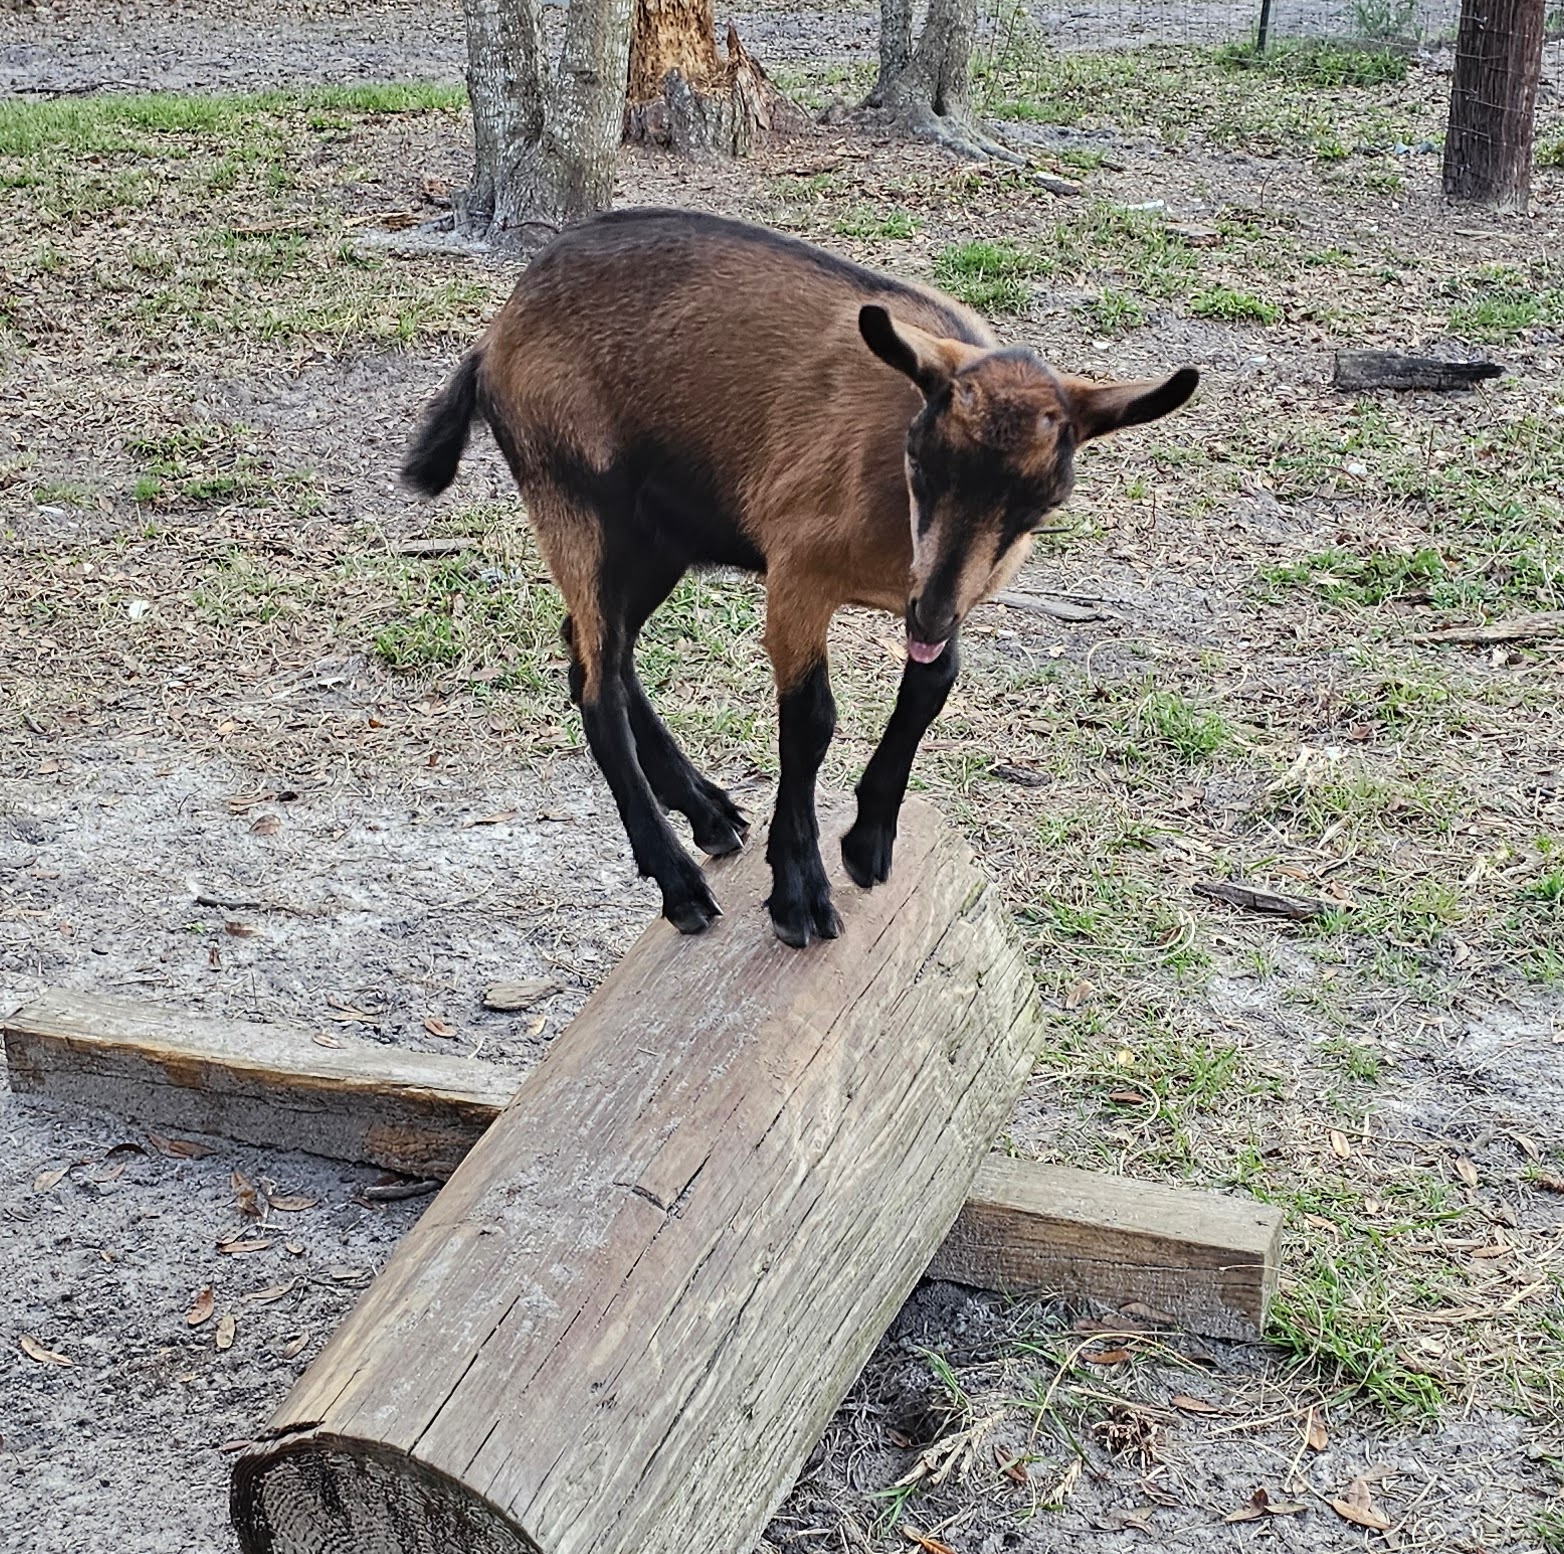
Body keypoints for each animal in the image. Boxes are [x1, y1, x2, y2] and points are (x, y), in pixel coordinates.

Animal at [403, 208, 1199, 947]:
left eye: (1045, 501)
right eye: (922, 461)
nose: (928, 613)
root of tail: (496, 336)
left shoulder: (953, 589)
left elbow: (933, 683)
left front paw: (869, 844)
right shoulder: (798, 574)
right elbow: (811, 717)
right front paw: (800, 896)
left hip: (660, 537)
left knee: (595, 652)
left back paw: (710, 813)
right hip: (575, 500)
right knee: (599, 688)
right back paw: (681, 884)